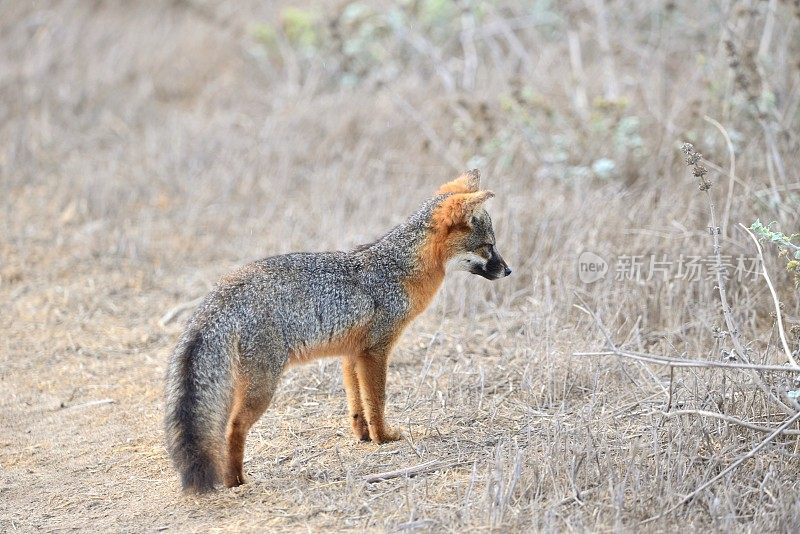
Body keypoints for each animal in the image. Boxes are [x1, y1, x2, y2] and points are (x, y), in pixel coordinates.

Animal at [165, 172, 510, 494]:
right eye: (488, 247)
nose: (508, 271)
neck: (396, 270)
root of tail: (226, 288)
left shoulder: (351, 353)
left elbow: (357, 403)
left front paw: (364, 436)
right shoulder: (376, 351)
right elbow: (377, 401)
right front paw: (384, 437)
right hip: (262, 387)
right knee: (233, 427)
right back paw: (235, 480)